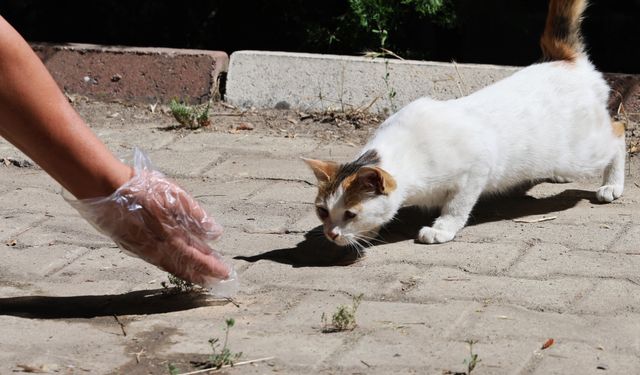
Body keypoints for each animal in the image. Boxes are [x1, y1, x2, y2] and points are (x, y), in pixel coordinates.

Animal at [304, 0, 624, 248]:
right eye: (322, 211)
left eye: (350, 214)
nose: (331, 234)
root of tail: (564, 61)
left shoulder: (475, 170)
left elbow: (456, 206)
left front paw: (441, 228)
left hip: (583, 153)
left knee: (618, 134)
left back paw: (612, 185)